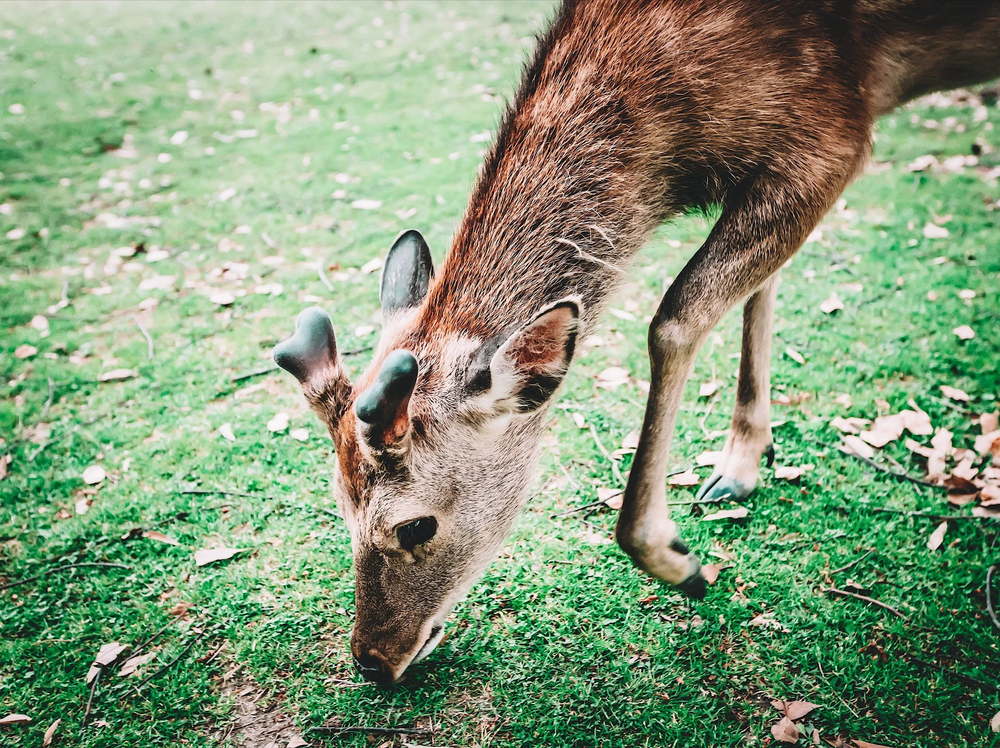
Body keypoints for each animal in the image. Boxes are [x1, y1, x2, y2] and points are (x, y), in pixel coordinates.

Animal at [272, 0, 1000, 683]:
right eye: (340, 507)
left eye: (416, 524)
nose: (370, 661)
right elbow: (761, 285)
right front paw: (741, 463)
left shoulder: (834, 134)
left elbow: (674, 318)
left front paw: (681, 561)